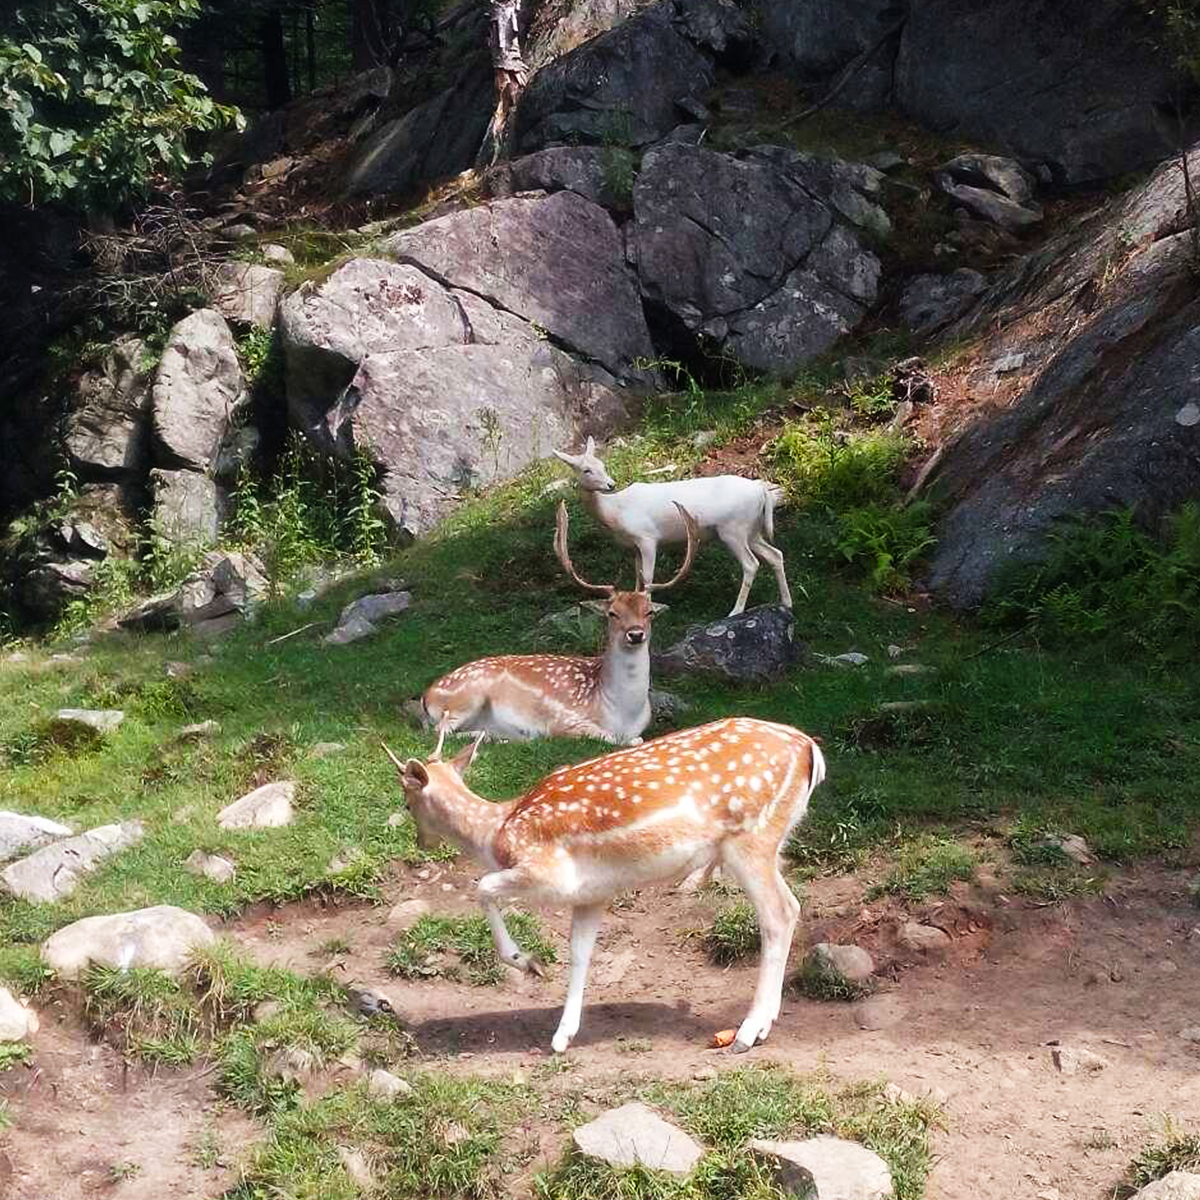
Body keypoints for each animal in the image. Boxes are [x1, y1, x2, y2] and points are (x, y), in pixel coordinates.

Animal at [381, 715, 825, 1056]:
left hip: (749, 840)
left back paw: (748, 1032)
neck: (497, 833)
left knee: (779, 914)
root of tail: (810, 749)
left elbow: (482, 886)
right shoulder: (592, 895)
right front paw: (562, 1036)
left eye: (406, 802)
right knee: (792, 908)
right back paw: (765, 1021)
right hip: (769, 842)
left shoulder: (547, 873)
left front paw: (526, 962)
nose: (420, 841)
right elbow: (579, 952)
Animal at [417, 501, 700, 744]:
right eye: (612, 613)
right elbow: (610, 738)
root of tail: (426, 696)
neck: (621, 713)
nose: (635, 633)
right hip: (466, 697)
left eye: (648, 612)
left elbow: (636, 739)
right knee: (438, 731)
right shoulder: (565, 721)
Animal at [554, 434, 796, 619]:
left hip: (733, 529)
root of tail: (762, 491)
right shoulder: (634, 546)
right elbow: (637, 576)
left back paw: (735, 611)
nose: (610, 484)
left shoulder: (647, 538)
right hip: (751, 529)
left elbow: (648, 576)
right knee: (775, 554)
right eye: (586, 470)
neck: (615, 511)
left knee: (751, 564)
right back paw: (786, 602)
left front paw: (649, 609)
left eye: (603, 465)